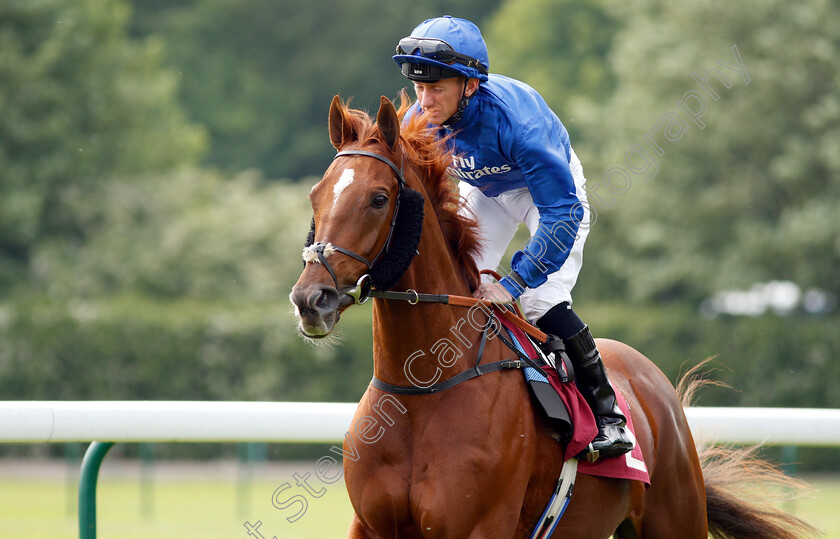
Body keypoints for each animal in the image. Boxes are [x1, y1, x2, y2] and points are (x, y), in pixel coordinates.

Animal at [292, 95, 816, 536]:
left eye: (379, 198)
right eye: (315, 195)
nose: (310, 299)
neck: (420, 391)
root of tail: (656, 384)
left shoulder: (477, 527)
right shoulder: (370, 526)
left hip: (675, 518)